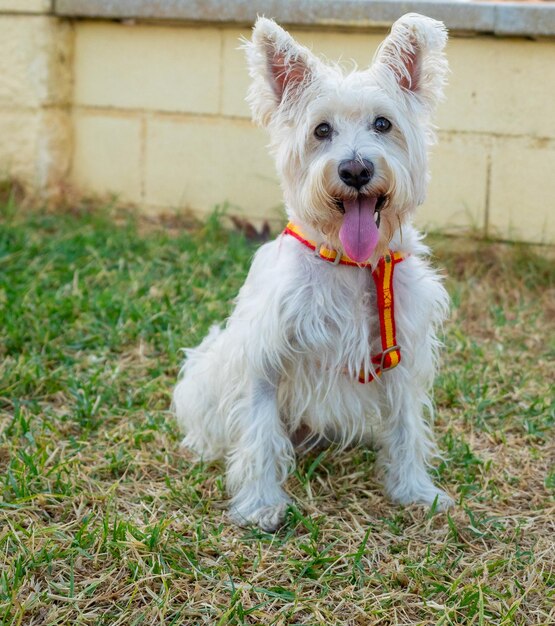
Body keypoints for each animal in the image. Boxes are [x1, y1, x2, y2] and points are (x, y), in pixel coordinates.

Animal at [174, 13, 456, 528]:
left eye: (383, 123)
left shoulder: (402, 354)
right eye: (321, 130)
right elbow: (258, 436)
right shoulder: (263, 357)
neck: (352, 262)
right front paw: (261, 504)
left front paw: (415, 491)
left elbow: (406, 426)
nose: (355, 170)